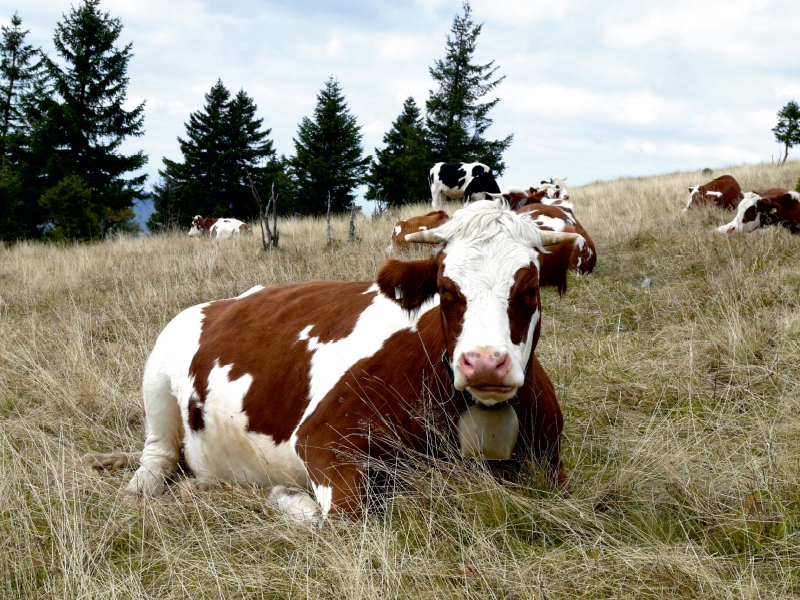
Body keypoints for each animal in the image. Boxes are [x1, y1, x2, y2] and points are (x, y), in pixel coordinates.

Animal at [84, 200, 580, 520]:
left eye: (529, 289)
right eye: (446, 288)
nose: (485, 363)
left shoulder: (553, 467)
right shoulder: (324, 439)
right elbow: (341, 516)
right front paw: (284, 495)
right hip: (156, 382)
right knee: (157, 458)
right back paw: (143, 489)